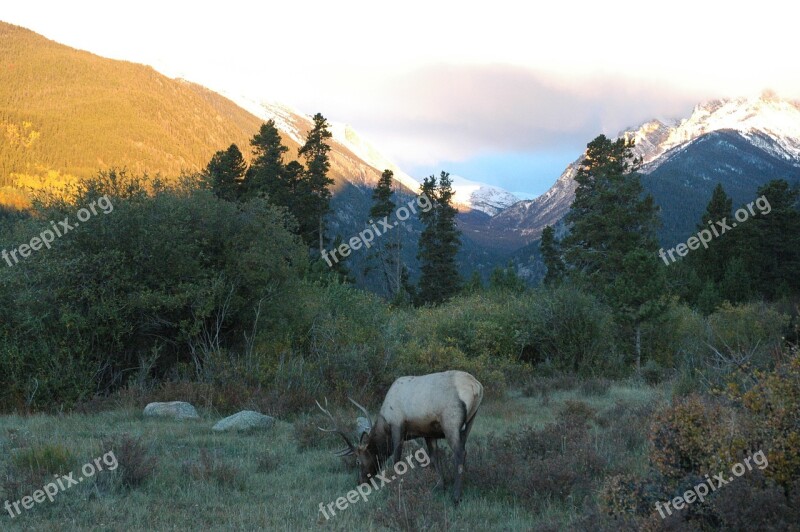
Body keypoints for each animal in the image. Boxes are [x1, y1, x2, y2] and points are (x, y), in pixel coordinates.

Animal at [318, 370, 482, 502]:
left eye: (358, 461)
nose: (360, 481)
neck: (385, 422)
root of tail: (476, 387)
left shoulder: (398, 426)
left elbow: (396, 459)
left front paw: (395, 486)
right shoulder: (428, 432)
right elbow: (434, 458)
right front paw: (439, 486)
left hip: (451, 422)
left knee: (460, 453)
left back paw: (456, 496)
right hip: (470, 422)